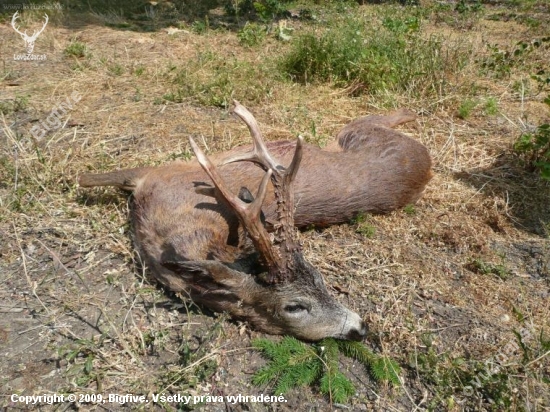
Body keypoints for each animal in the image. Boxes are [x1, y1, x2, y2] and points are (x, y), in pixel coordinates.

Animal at [80, 101, 434, 340]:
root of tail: (425, 160)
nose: (360, 328)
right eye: (294, 307)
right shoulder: (153, 175)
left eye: (320, 279)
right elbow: (90, 178)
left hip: (354, 135)